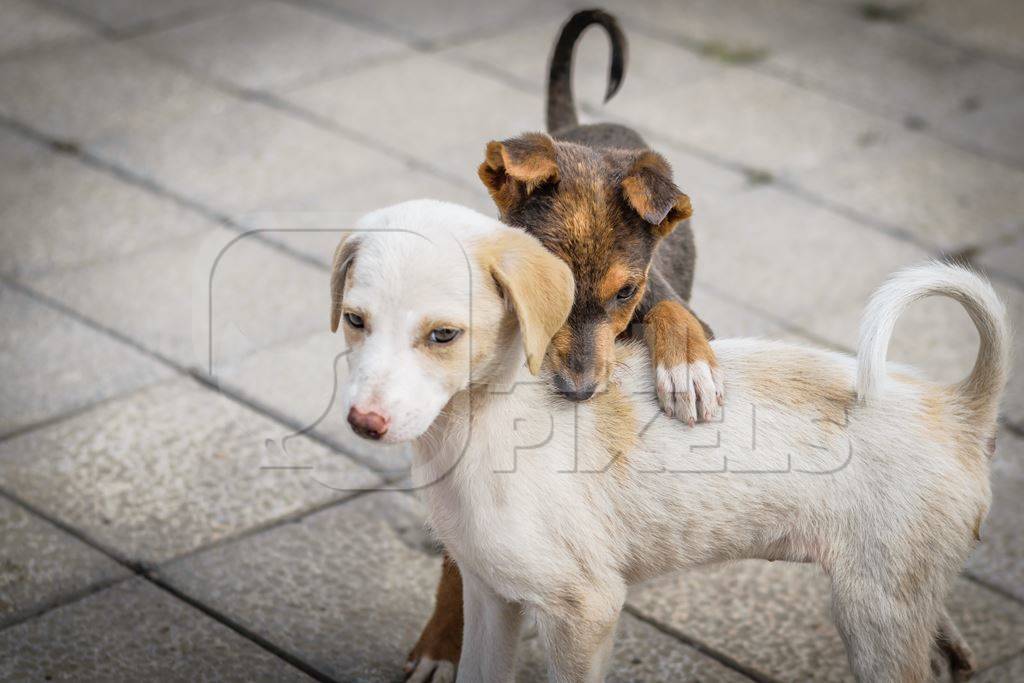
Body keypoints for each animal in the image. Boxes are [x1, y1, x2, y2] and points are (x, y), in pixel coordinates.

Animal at [333, 200, 1007, 683]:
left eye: (444, 335)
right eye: (355, 320)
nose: (364, 423)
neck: (480, 421)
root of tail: (961, 409)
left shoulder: (585, 609)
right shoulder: (488, 593)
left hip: (876, 611)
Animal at [401, 10, 720, 683]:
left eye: (626, 292)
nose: (577, 391)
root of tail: (582, 127)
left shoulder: (663, 295)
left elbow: (671, 311)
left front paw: (688, 371)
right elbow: (461, 558)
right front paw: (445, 640)